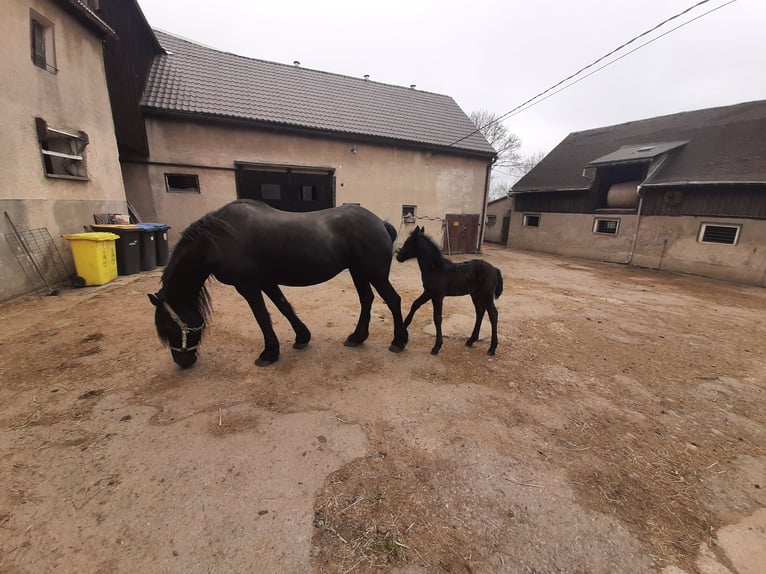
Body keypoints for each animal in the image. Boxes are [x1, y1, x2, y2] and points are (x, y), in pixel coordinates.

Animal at [148, 199, 408, 369]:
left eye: (169, 327)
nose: (182, 361)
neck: (217, 241)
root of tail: (380, 223)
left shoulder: (248, 286)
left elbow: (262, 316)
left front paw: (269, 353)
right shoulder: (267, 282)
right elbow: (284, 307)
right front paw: (302, 337)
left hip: (374, 273)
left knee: (393, 300)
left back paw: (399, 341)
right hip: (358, 271)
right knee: (367, 299)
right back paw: (357, 337)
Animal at [395, 225, 503, 356]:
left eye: (408, 243)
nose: (398, 257)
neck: (435, 268)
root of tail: (494, 269)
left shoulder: (437, 296)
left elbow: (437, 318)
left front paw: (437, 347)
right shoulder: (428, 292)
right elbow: (415, 304)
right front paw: (403, 327)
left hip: (486, 295)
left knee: (493, 315)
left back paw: (492, 348)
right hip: (475, 294)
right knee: (480, 311)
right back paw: (471, 340)